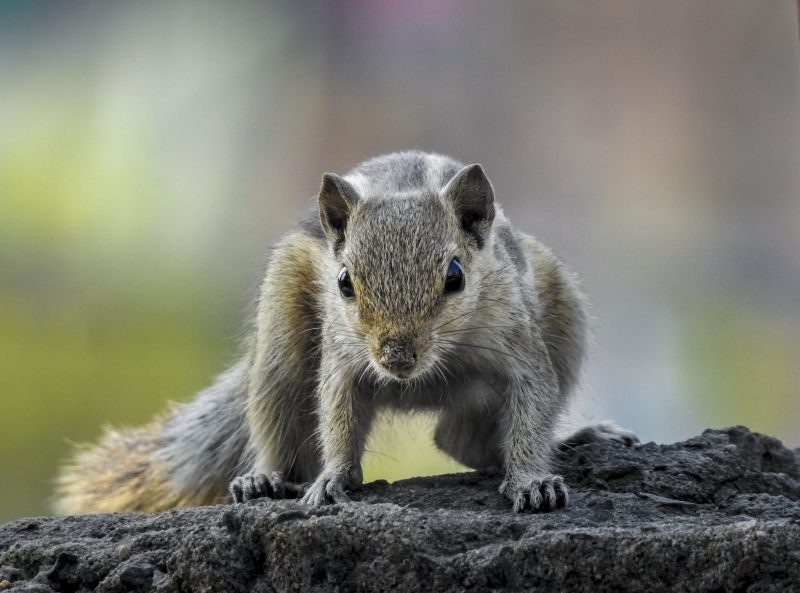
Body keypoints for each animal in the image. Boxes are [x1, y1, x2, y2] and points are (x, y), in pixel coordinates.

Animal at [54, 151, 636, 512]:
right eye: (343, 282)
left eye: (455, 276)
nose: (396, 358)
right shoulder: (343, 359)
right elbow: (335, 414)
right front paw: (333, 478)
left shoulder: (521, 347)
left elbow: (531, 409)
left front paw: (533, 481)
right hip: (281, 335)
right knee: (279, 415)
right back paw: (265, 477)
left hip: (565, 314)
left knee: (459, 438)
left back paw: (579, 437)